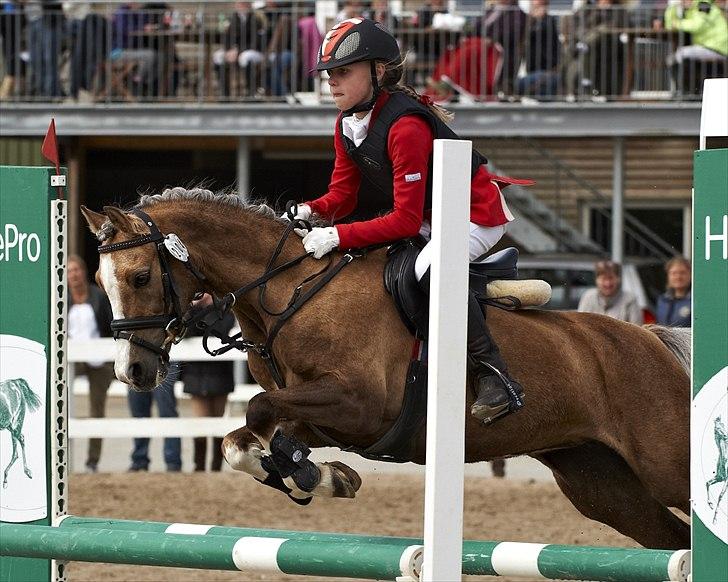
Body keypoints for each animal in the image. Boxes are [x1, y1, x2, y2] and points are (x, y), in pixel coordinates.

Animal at [81, 188, 691, 550]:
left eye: (139, 277)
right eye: (103, 283)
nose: (133, 371)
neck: (289, 293)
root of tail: (652, 340)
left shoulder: (361, 407)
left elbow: (256, 407)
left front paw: (305, 472)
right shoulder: (321, 414)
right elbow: (247, 436)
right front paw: (317, 474)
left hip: (666, 465)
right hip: (599, 483)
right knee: (670, 539)